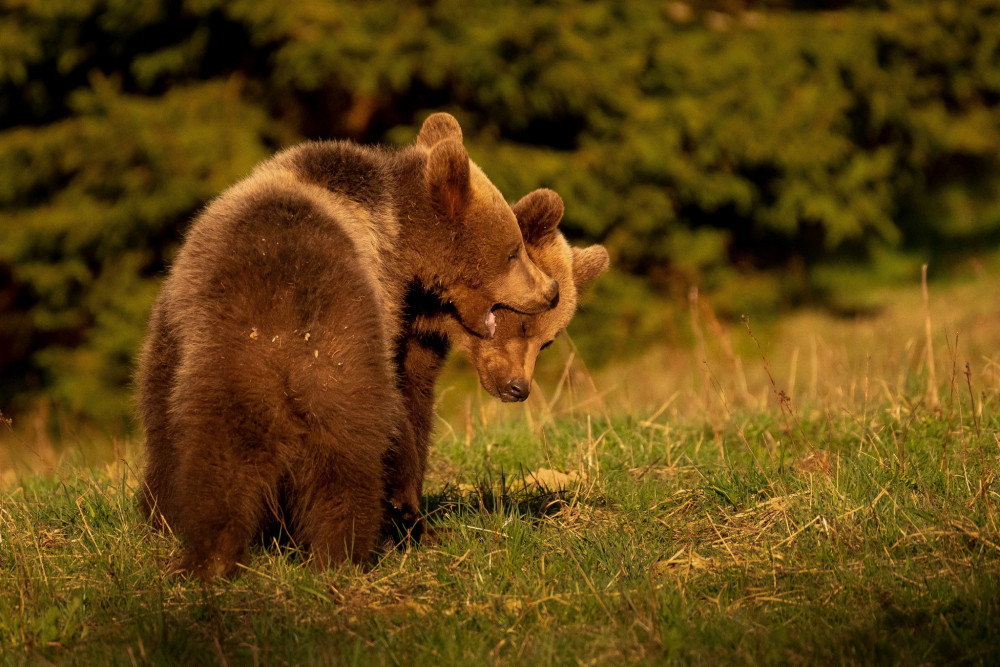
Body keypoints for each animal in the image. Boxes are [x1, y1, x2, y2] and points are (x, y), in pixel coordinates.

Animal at [138, 112, 564, 580]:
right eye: (513, 251)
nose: (550, 290)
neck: (399, 231)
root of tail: (277, 336)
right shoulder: (387, 297)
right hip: (341, 360)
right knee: (347, 457)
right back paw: (342, 554)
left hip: (219, 371)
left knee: (207, 458)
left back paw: (202, 549)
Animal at [382, 187, 604, 536]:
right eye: (524, 323)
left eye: (547, 342)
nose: (518, 388)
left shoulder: (422, 343)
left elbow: (416, 400)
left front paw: (408, 514)